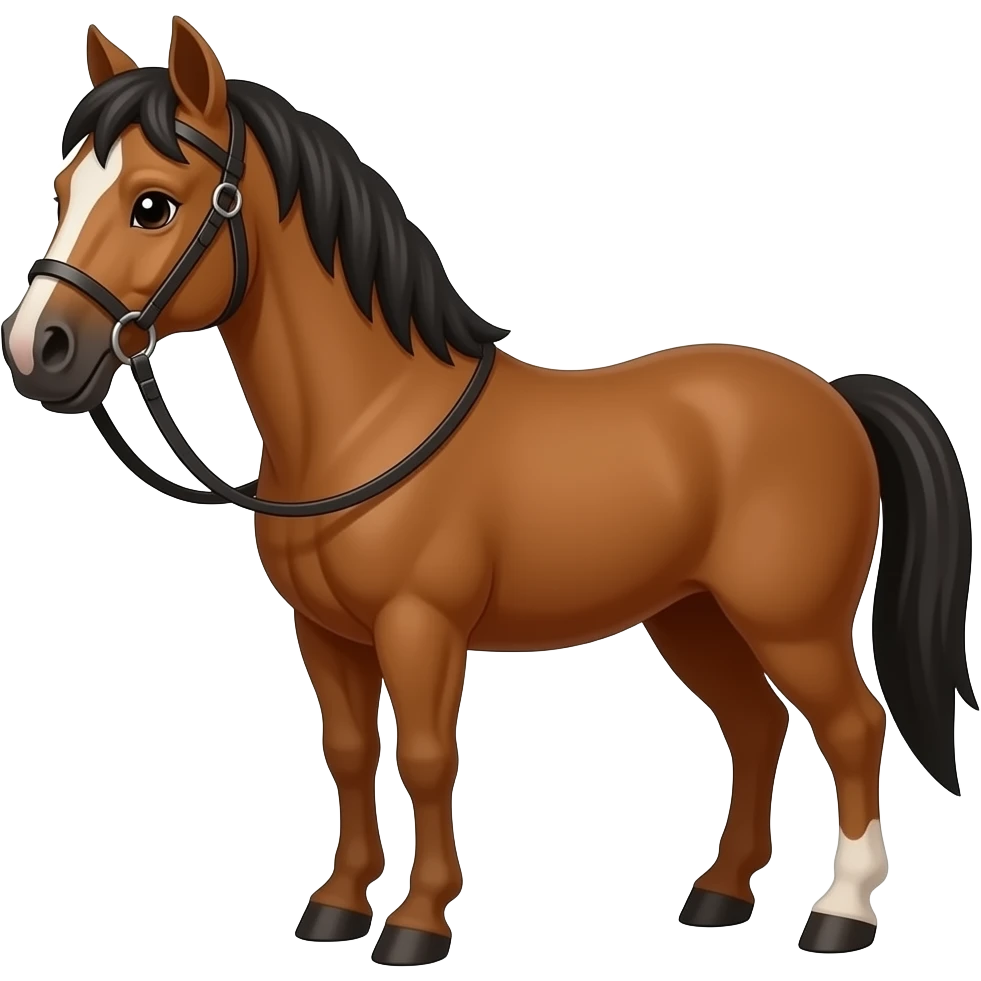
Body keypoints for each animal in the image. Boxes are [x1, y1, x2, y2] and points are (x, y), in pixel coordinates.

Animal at [1, 17, 974, 965]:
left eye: (152, 203)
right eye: (63, 190)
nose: (37, 350)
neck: (370, 420)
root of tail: (834, 398)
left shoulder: (420, 626)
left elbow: (429, 757)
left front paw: (417, 922)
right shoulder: (325, 634)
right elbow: (348, 752)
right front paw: (336, 905)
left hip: (790, 622)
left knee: (852, 725)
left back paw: (840, 913)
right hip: (693, 616)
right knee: (756, 727)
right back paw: (719, 893)